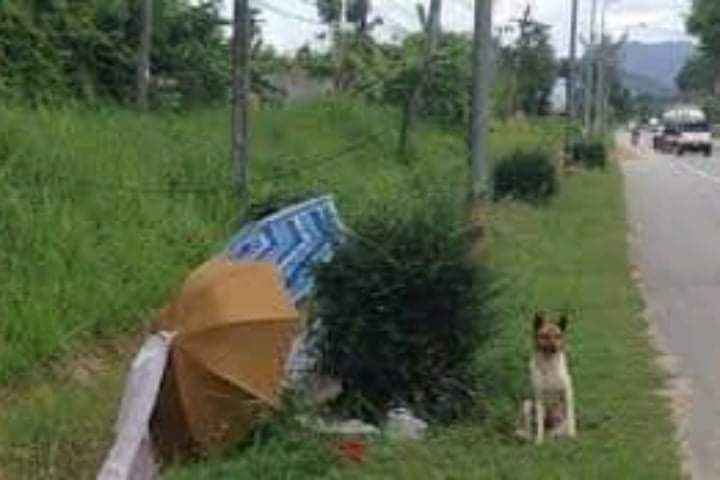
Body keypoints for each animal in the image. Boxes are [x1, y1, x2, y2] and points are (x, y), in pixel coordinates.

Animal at [520, 314, 576, 444]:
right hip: (527, 404)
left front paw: (572, 435)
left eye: (558, 335)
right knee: (531, 428)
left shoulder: (567, 393)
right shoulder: (539, 398)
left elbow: (571, 417)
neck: (549, 365)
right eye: (544, 336)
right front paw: (539, 441)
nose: (554, 349)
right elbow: (539, 423)